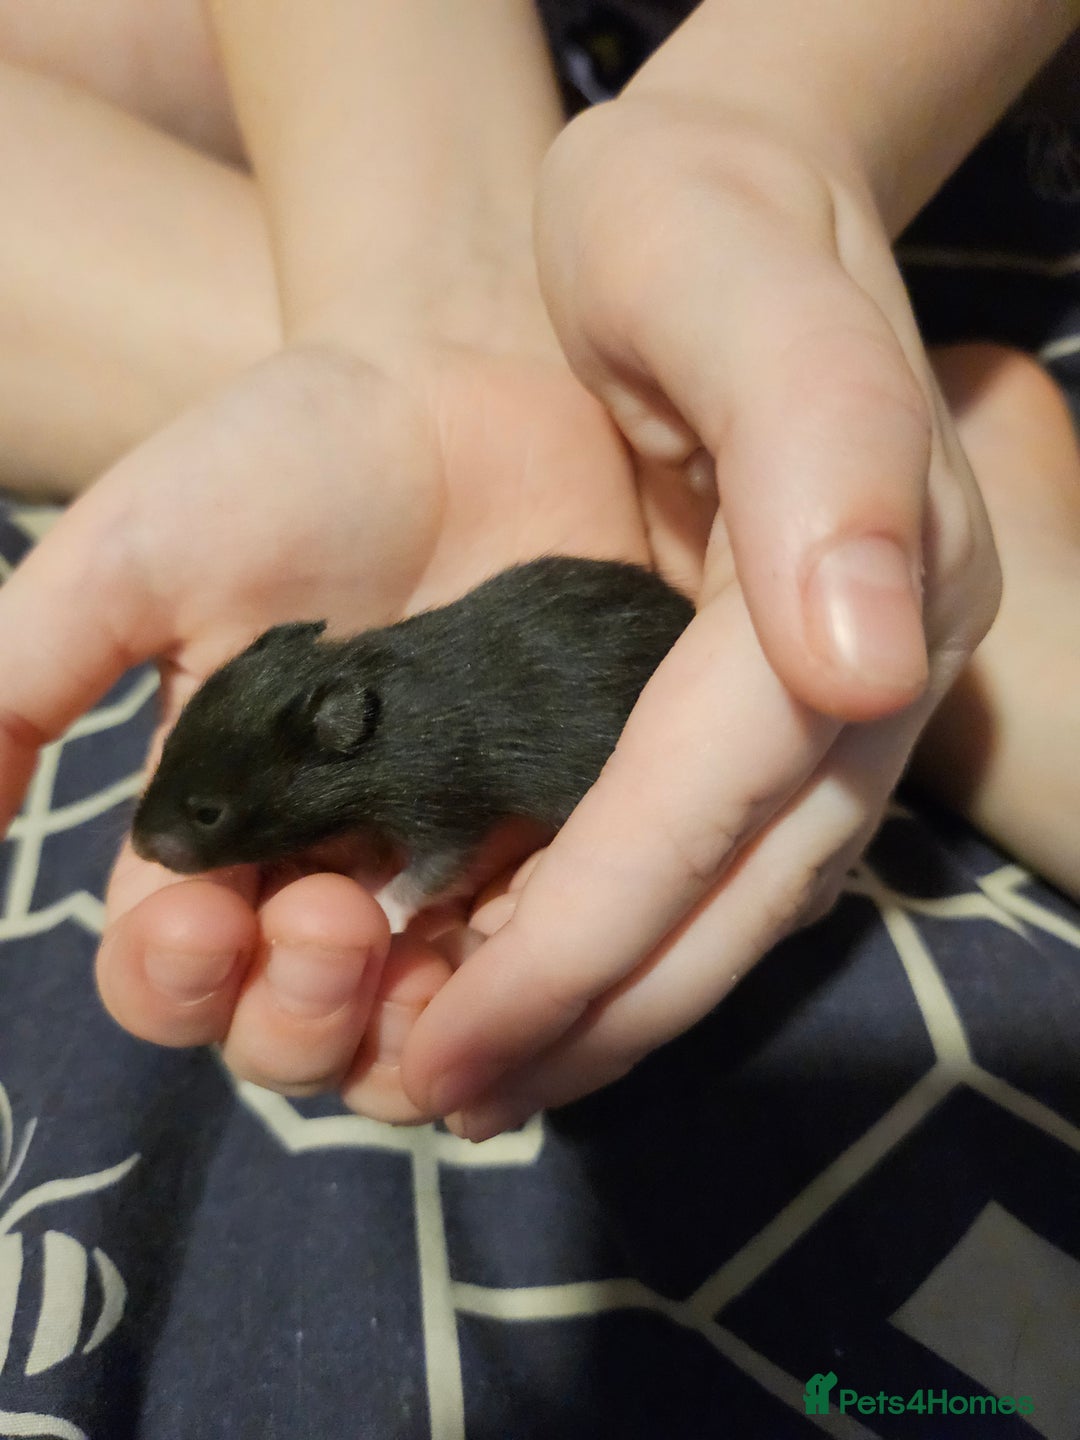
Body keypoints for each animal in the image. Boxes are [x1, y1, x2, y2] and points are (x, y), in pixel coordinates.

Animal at [132, 557, 694, 901]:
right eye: (166, 747)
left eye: (209, 814)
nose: (137, 848)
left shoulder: (439, 800)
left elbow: (432, 872)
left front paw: (383, 909)